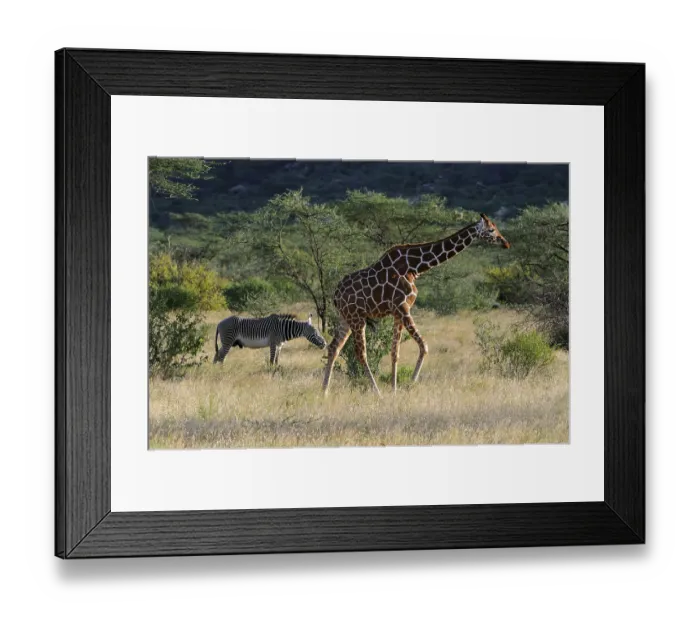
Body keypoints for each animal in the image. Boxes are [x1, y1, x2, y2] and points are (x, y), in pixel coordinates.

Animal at [322, 213, 511, 395]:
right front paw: (411, 383)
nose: (506, 243)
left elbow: (395, 353)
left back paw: (324, 392)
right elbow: (424, 346)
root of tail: (336, 294)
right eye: (491, 229)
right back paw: (377, 393)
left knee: (333, 348)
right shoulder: (403, 308)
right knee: (360, 354)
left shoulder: (397, 312)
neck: (415, 267)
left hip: (345, 318)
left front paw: (395, 390)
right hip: (357, 318)